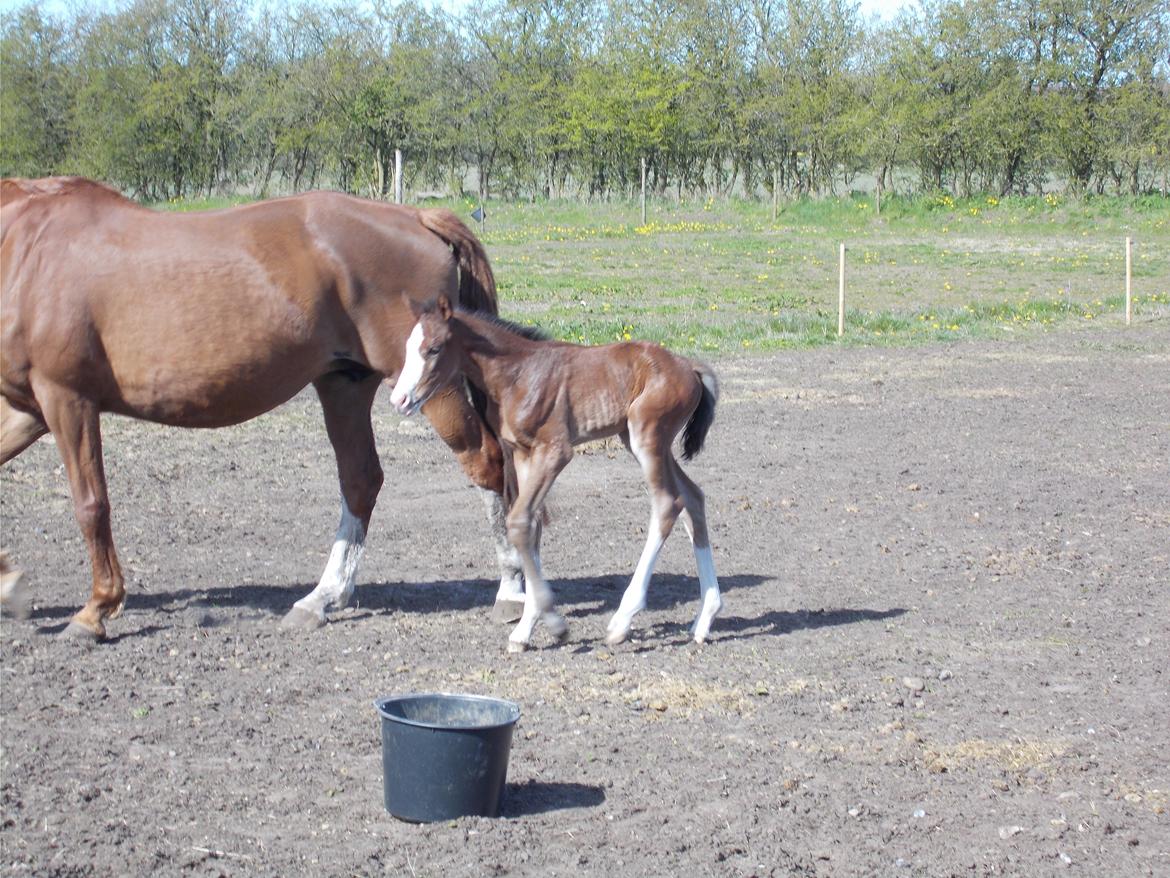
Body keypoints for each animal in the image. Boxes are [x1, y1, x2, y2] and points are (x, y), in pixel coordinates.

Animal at [0, 175, 528, 641]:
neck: (25, 248)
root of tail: (415, 217)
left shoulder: (67, 398)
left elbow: (91, 504)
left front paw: (94, 611)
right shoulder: (30, 407)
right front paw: (10, 584)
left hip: (430, 387)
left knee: (484, 463)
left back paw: (510, 591)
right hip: (344, 385)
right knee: (361, 481)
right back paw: (320, 599)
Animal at [393, 299, 720, 650]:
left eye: (434, 348)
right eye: (408, 347)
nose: (399, 399)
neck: (518, 375)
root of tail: (689, 367)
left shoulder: (554, 451)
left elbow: (519, 522)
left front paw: (554, 623)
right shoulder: (523, 454)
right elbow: (531, 525)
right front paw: (526, 629)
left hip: (647, 436)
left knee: (667, 504)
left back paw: (622, 621)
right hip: (637, 439)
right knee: (693, 497)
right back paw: (704, 619)